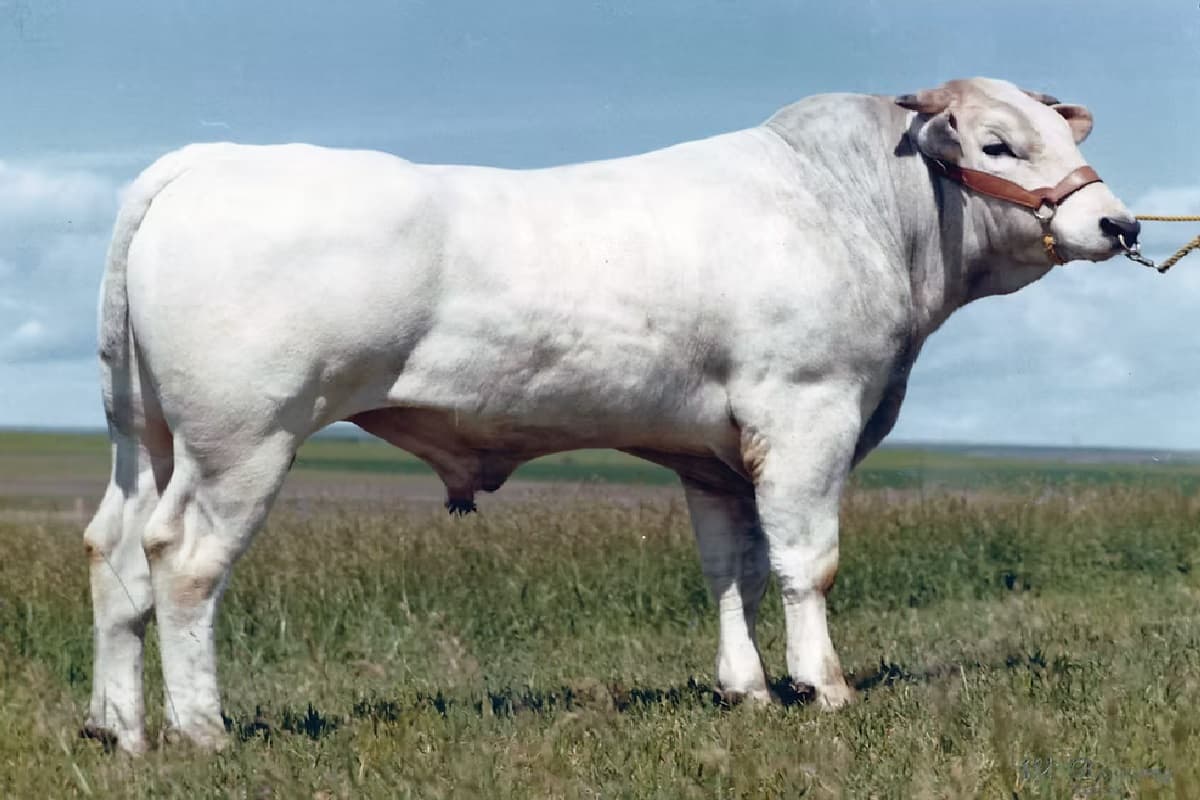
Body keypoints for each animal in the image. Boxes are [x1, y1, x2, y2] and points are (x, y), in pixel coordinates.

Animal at [82, 77, 1138, 753]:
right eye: (999, 144)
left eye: (1072, 138)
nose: (1118, 224)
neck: (854, 207)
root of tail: (207, 161)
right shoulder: (809, 412)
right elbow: (808, 563)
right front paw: (826, 688)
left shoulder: (717, 455)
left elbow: (732, 571)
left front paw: (748, 691)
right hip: (243, 440)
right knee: (184, 563)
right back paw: (202, 731)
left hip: (146, 436)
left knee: (115, 551)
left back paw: (120, 729)